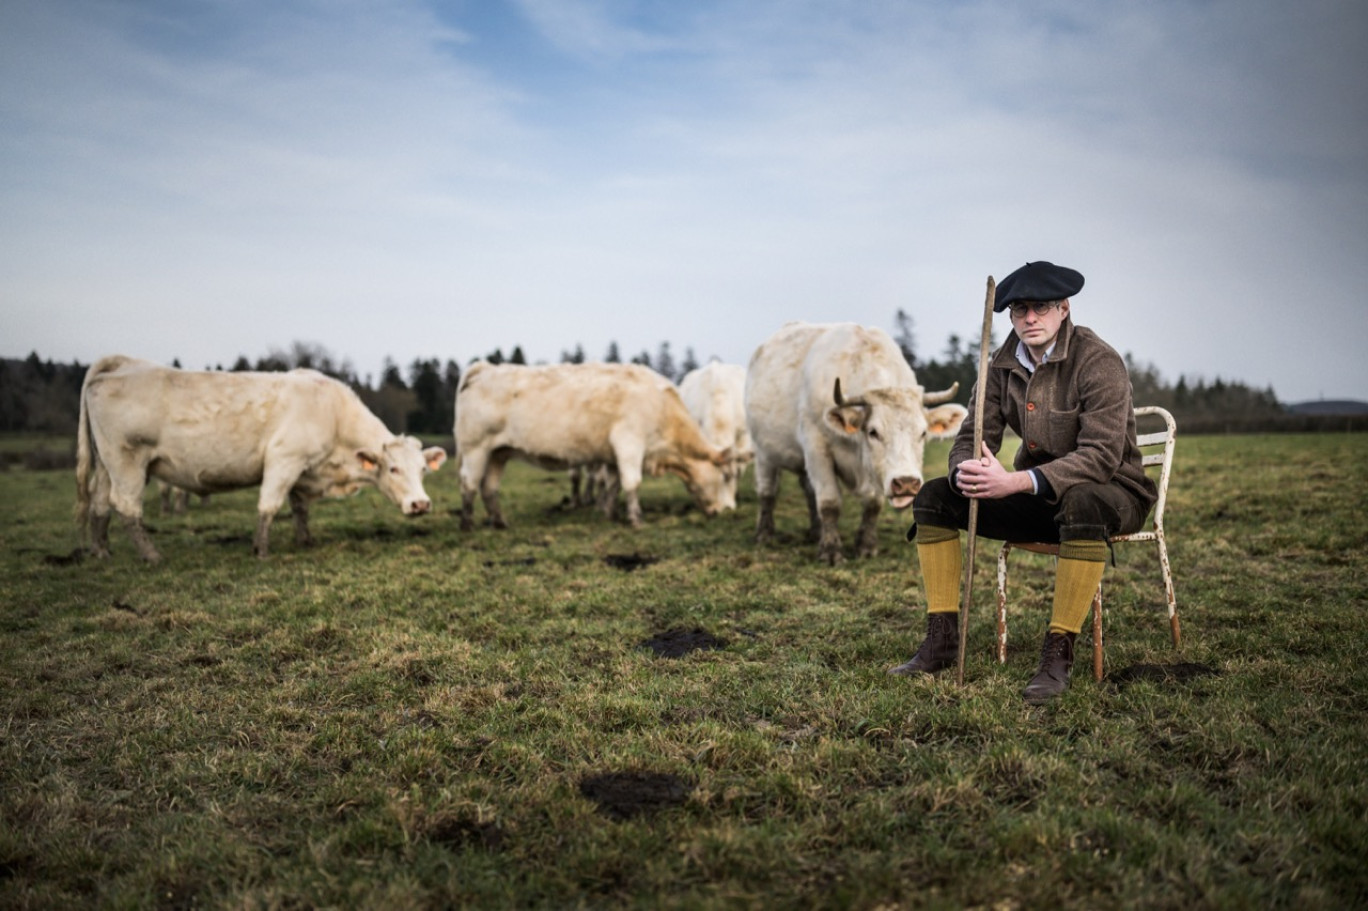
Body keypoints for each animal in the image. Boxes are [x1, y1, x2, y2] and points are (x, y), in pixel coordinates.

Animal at [77, 355, 448, 560]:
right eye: (393, 469)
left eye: (423, 471)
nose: (421, 504)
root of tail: (122, 366)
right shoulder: (284, 459)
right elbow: (269, 506)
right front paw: (261, 550)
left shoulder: (303, 470)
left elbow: (299, 508)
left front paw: (305, 540)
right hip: (127, 460)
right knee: (126, 506)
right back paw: (152, 555)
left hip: (108, 464)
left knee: (99, 502)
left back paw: (100, 550)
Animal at [454, 361, 733, 527]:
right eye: (725, 476)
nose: (723, 511)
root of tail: (484, 367)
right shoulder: (629, 442)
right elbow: (632, 483)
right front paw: (636, 519)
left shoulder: (612, 456)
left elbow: (613, 484)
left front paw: (611, 513)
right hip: (475, 448)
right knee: (469, 484)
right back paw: (468, 524)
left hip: (498, 453)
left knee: (489, 487)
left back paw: (500, 522)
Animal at [744, 318, 968, 560]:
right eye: (873, 432)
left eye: (923, 433)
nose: (906, 483)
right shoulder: (817, 448)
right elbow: (829, 502)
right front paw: (831, 550)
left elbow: (872, 504)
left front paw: (866, 545)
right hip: (763, 452)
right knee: (768, 491)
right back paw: (764, 534)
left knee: (809, 490)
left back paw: (815, 532)